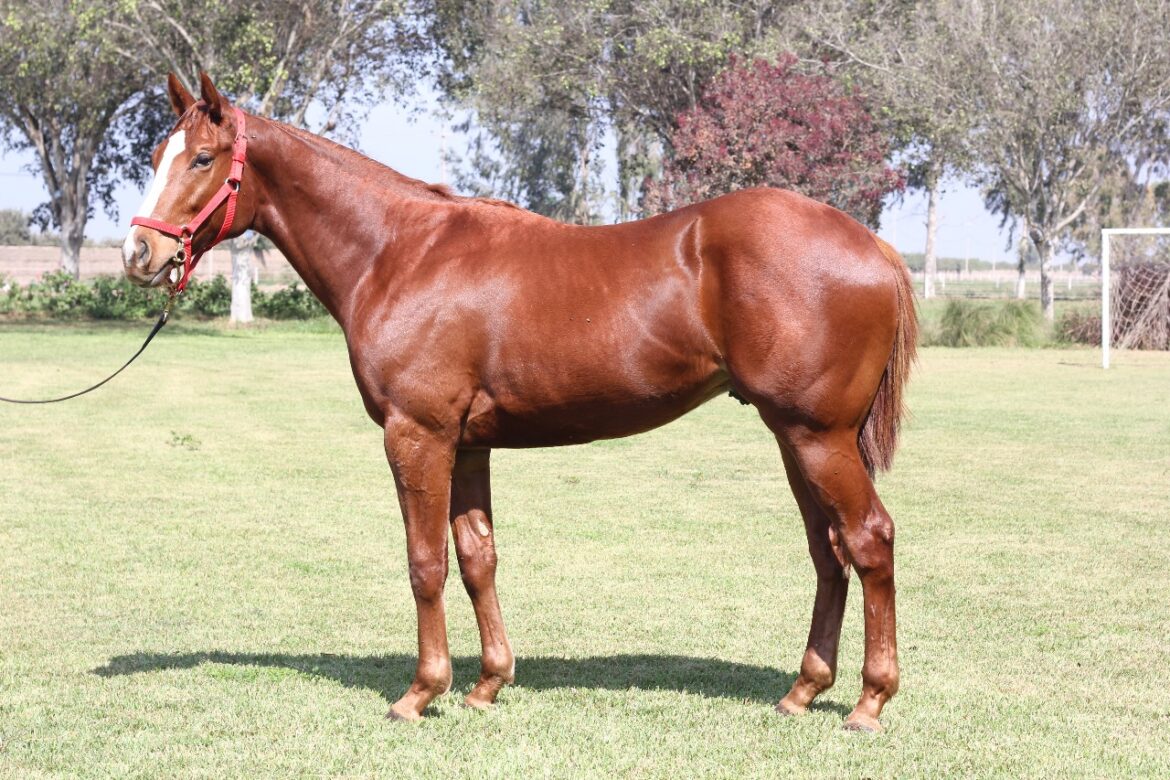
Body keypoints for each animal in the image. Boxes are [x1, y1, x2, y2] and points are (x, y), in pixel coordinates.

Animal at [123, 73, 917, 734]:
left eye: (201, 160)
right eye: (159, 154)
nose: (138, 255)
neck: (399, 252)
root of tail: (874, 245)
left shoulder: (417, 436)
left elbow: (425, 563)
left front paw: (421, 693)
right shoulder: (468, 443)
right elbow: (478, 557)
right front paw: (487, 685)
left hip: (818, 436)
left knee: (868, 539)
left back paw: (870, 703)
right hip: (794, 438)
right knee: (828, 551)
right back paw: (803, 691)